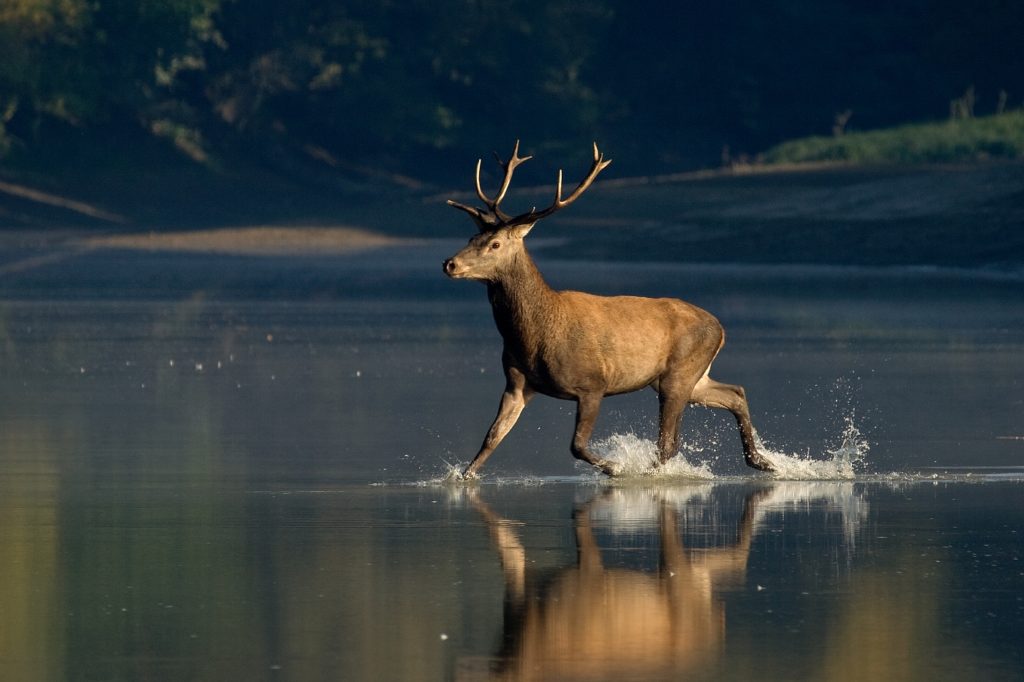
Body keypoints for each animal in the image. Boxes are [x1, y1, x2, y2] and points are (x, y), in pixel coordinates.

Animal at [442, 140, 774, 475]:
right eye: (472, 236)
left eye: (495, 244)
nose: (450, 263)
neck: (532, 337)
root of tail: (721, 328)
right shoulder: (516, 383)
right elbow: (491, 438)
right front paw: (462, 476)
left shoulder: (592, 384)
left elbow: (576, 445)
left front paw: (614, 466)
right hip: (687, 376)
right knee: (735, 393)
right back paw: (762, 461)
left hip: (680, 372)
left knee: (669, 442)